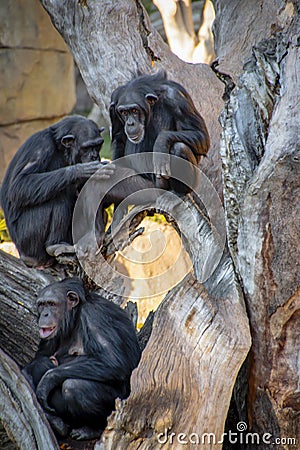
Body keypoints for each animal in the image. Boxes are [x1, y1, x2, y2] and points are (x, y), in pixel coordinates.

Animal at [22, 278, 142, 440]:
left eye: (52, 304)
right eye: (42, 304)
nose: (45, 314)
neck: (74, 316)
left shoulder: (94, 316)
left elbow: (113, 361)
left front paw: (47, 380)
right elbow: (35, 361)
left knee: (74, 386)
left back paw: (91, 429)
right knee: (41, 363)